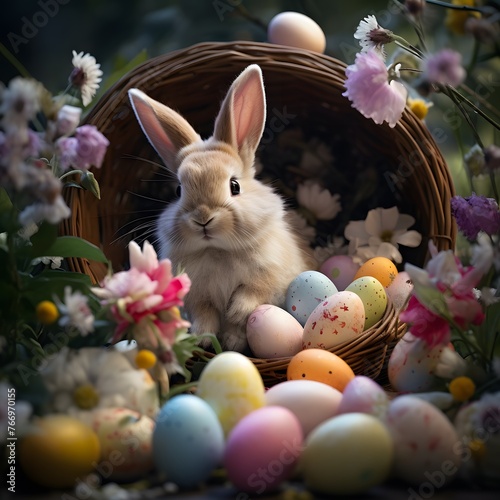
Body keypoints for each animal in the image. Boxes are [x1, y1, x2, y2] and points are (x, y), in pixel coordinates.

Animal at [128, 63, 312, 352]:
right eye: (179, 191)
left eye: (234, 186)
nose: (202, 218)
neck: (218, 251)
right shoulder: (197, 296)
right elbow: (205, 313)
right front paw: (203, 337)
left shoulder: (274, 278)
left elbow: (253, 294)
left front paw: (235, 315)